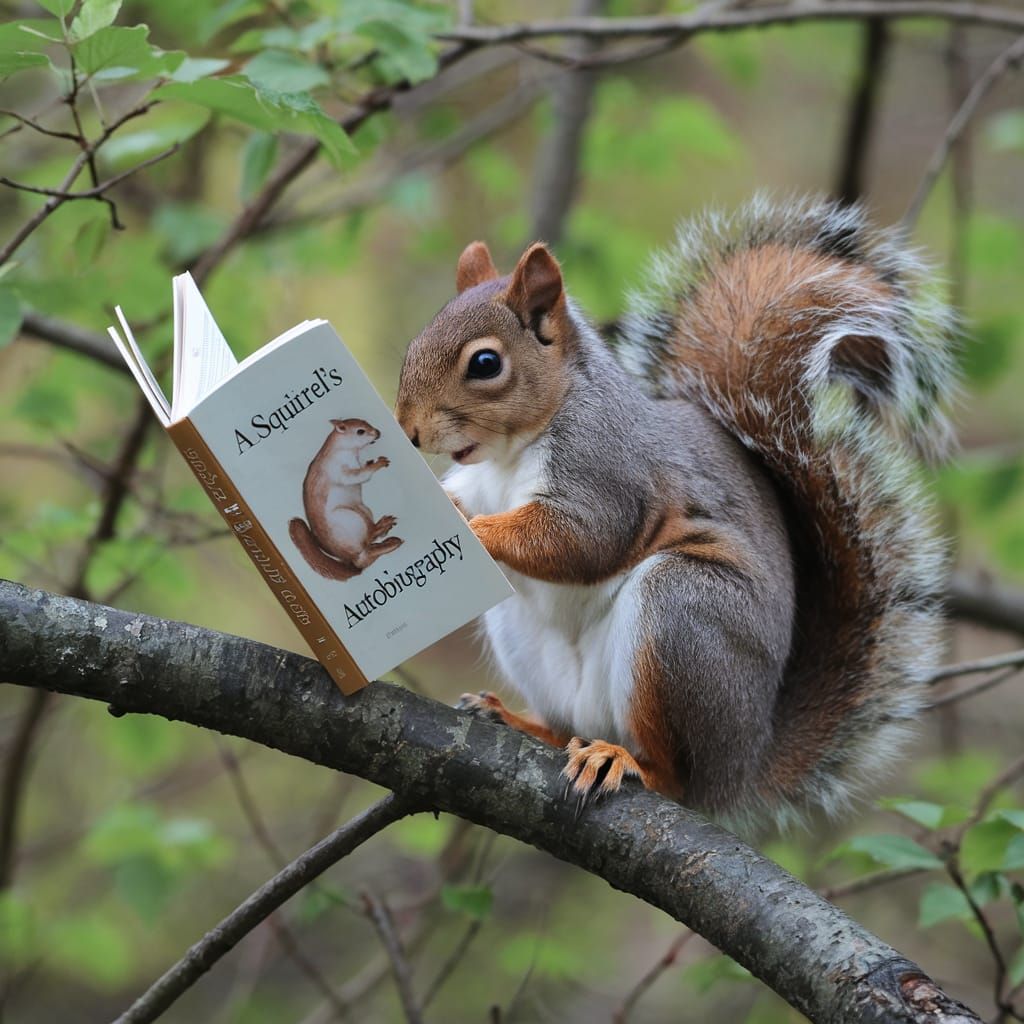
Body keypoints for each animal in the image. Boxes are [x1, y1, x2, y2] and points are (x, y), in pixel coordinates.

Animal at [288, 417, 402, 581]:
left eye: (366, 422)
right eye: (360, 431)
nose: (377, 433)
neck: (343, 449)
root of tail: (352, 560)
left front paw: (372, 461)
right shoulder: (337, 468)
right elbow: (358, 476)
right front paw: (378, 464)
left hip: (364, 509)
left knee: (370, 538)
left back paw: (384, 528)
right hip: (352, 519)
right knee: (368, 541)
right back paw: (385, 534)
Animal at [395, 196, 957, 826]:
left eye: (486, 363)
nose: (408, 431)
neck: (509, 456)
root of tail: (741, 768)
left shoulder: (608, 474)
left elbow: (581, 540)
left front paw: (471, 529)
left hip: (683, 617)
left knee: (675, 777)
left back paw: (621, 761)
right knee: (565, 726)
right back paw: (519, 721)